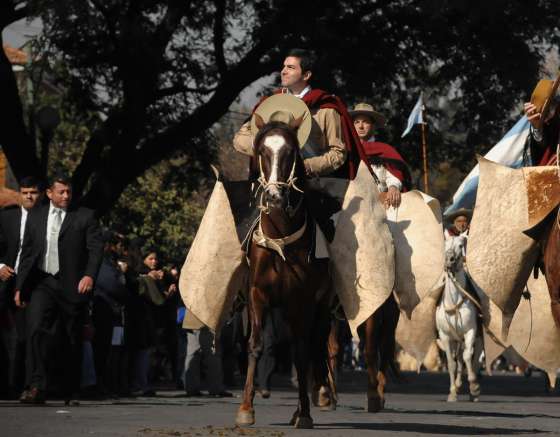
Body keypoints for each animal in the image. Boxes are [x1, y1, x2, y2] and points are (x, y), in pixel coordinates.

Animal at [235, 114, 332, 428]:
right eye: (262, 151)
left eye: (291, 152)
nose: (275, 196)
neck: (279, 240)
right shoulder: (257, 295)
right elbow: (255, 345)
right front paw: (245, 409)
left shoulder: (301, 299)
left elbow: (301, 352)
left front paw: (305, 414)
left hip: (320, 306)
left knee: (311, 346)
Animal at [436, 233, 480, 400]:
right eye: (445, 243)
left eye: (461, 245)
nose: (450, 260)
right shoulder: (445, 336)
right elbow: (451, 363)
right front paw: (453, 392)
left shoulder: (471, 331)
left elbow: (468, 356)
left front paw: (474, 386)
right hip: (456, 340)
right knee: (459, 360)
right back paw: (458, 384)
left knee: (472, 358)